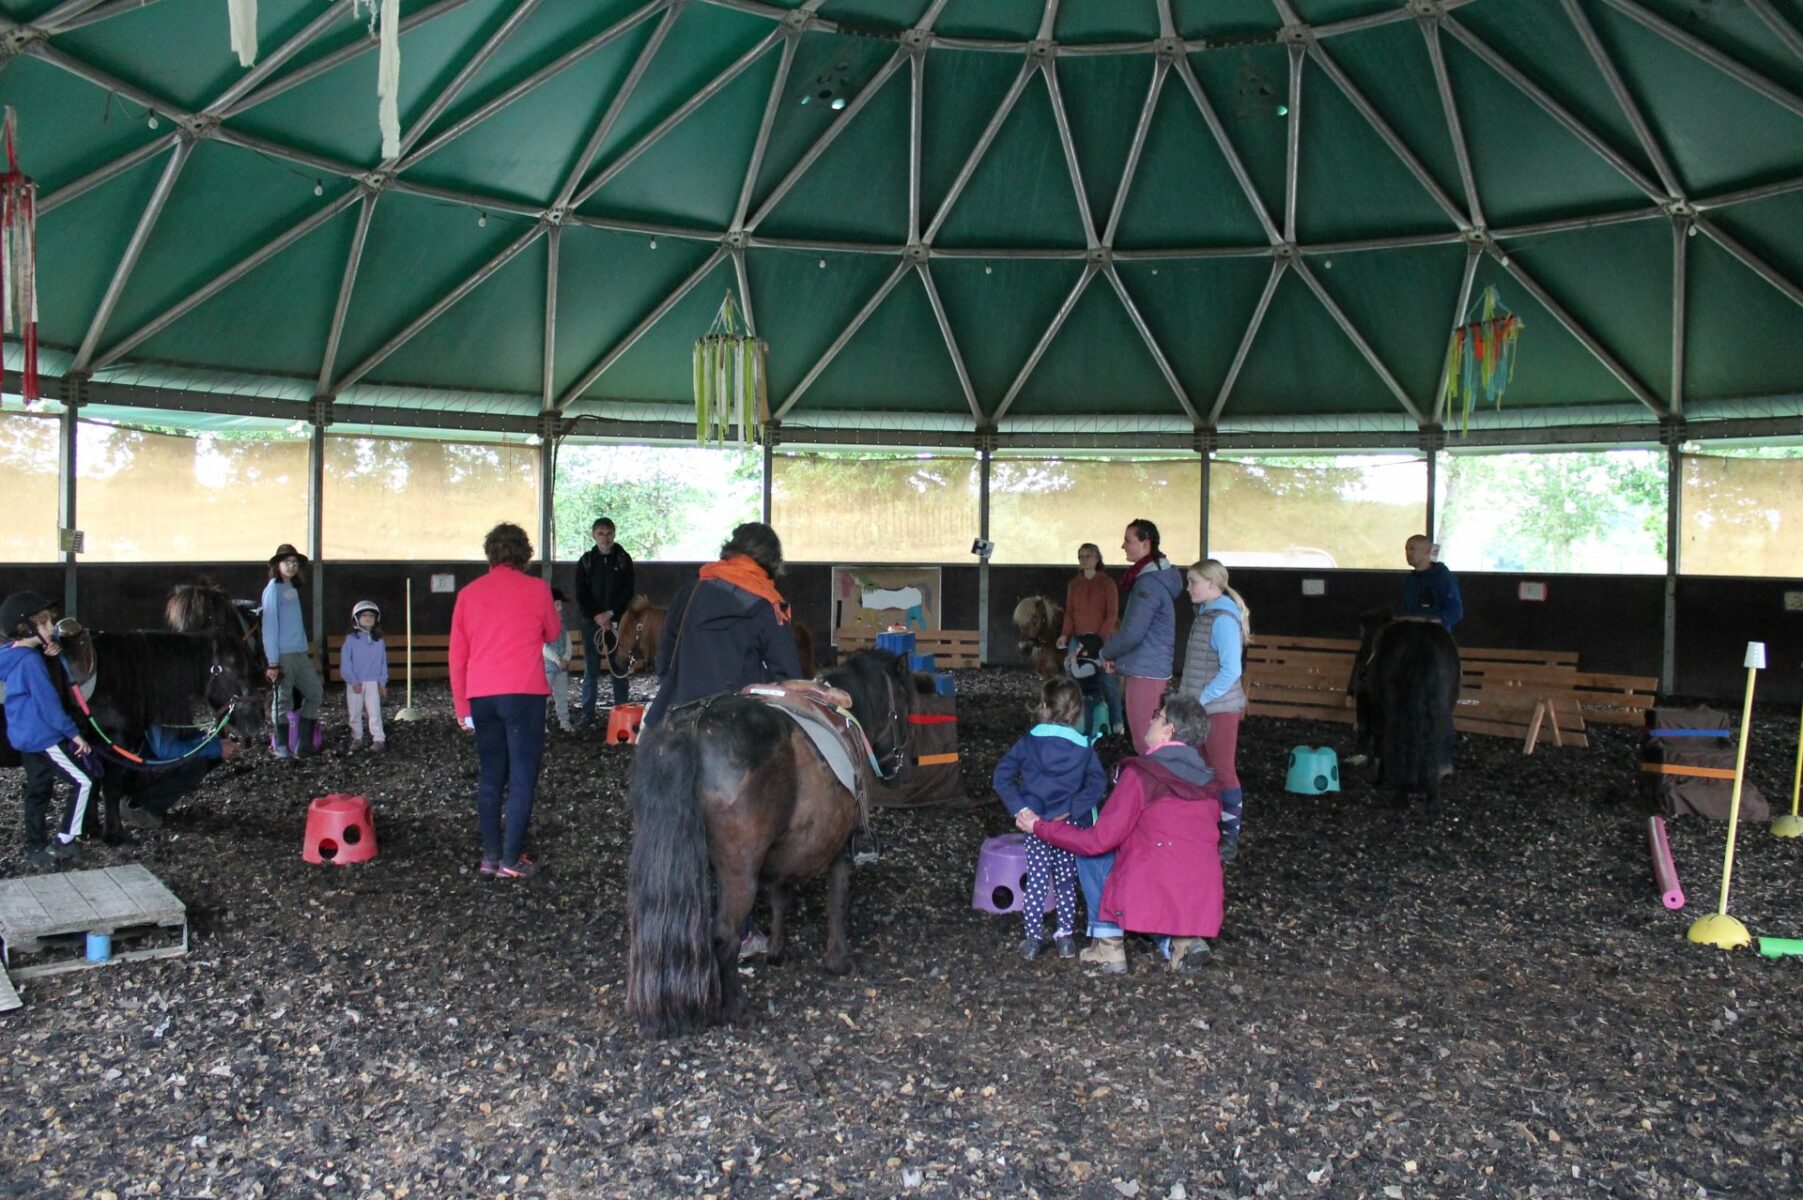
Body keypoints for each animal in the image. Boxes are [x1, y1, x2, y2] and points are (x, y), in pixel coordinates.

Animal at [631, 648, 915, 1030]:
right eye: (904, 707)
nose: (902, 768)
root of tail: (693, 725)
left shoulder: (784, 851)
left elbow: (781, 894)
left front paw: (778, 951)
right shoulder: (841, 847)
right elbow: (837, 898)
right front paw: (838, 959)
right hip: (739, 872)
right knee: (724, 934)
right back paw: (736, 1007)